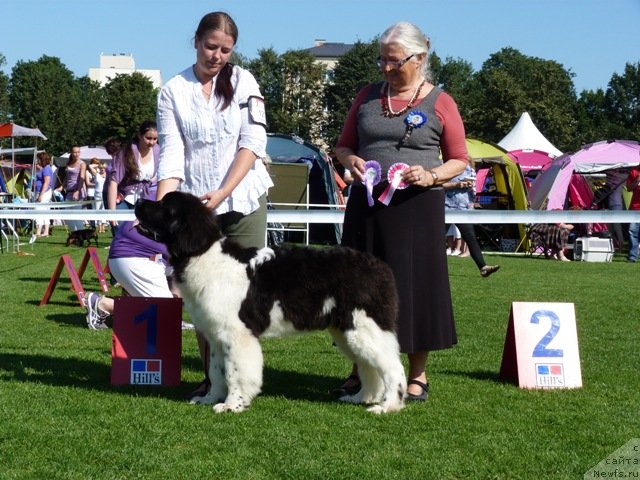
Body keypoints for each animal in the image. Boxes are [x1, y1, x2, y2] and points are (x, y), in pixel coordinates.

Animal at [135, 191, 404, 412]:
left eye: (164, 205)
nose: (137, 202)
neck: (203, 255)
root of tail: (379, 266)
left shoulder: (237, 334)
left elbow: (234, 372)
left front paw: (233, 404)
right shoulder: (217, 335)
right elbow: (217, 371)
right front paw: (210, 398)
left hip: (365, 328)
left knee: (392, 367)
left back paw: (387, 405)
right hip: (346, 331)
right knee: (370, 367)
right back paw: (362, 397)